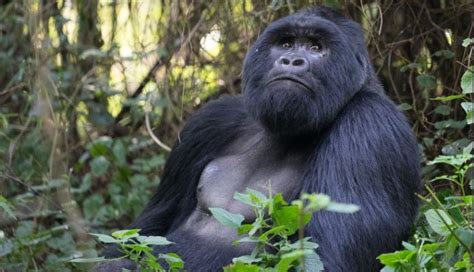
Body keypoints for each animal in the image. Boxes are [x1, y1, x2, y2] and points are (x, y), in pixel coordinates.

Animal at [98, 5, 420, 270]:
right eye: (285, 43)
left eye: (316, 47)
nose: (291, 60)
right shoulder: (209, 122)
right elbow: (142, 234)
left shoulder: (370, 125)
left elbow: (327, 259)